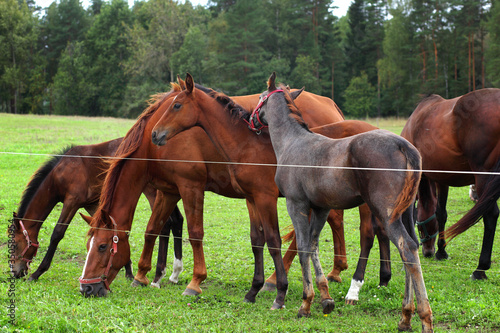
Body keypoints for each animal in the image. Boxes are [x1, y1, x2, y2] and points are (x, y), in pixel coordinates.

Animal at [10, 137, 184, 286]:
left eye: (16, 244)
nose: (15, 273)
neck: (62, 172)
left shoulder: (71, 202)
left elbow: (57, 233)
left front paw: (37, 272)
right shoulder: (93, 205)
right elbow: (114, 230)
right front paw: (128, 271)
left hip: (153, 192)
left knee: (164, 224)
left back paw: (158, 275)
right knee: (176, 221)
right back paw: (172, 275)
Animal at [150, 70, 432, 330]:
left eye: (176, 105)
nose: (155, 134)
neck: (249, 145)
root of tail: (405, 146)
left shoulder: (270, 199)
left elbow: (276, 242)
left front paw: (281, 294)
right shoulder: (253, 199)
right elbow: (260, 241)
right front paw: (255, 290)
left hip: (376, 208)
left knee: (380, 239)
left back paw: (369, 294)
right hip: (400, 211)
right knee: (404, 245)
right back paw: (400, 306)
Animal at [402, 87, 500, 278]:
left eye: (419, 227)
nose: (428, 252)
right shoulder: (443, 179)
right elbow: (441, 213)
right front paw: (442, 251)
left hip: (484, 178)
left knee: (490, 215)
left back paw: (480, 269)